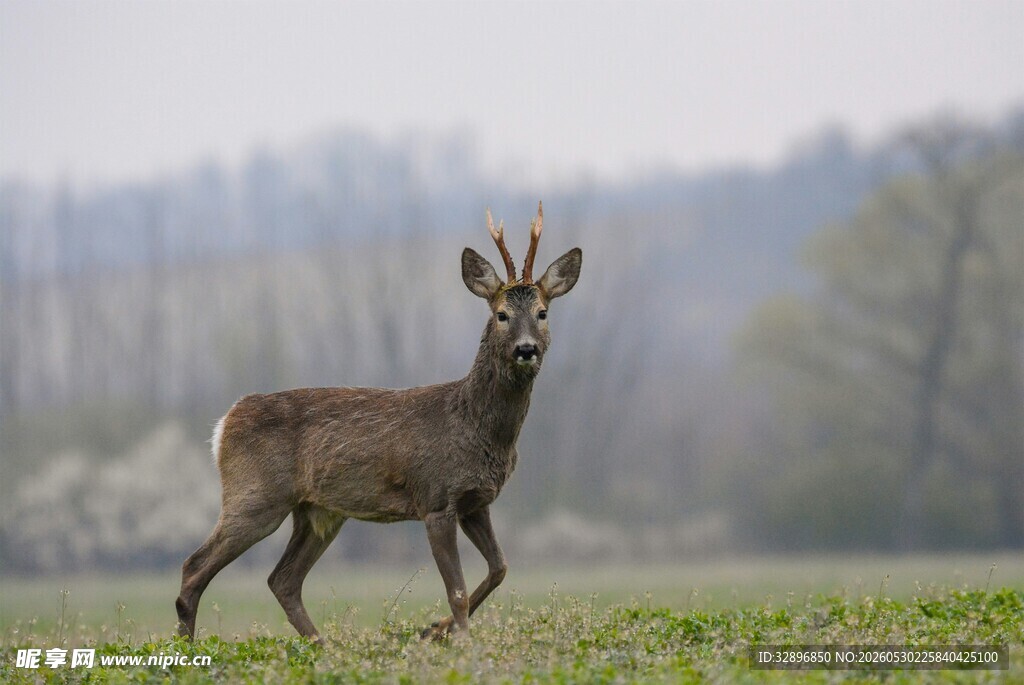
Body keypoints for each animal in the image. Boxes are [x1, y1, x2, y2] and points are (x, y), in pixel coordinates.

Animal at [176, 202, 582, 642]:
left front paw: (433, 631)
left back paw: (322, 645)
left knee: (282, 580)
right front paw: (459, 640)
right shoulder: (435, 498)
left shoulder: (476, 500)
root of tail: (224, 425)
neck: (479, 430)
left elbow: (500, 568)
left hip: (318, 511)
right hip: (255, 495)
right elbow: (456, 591)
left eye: (542, 313)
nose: (526, 349)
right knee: (195, 566)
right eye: (502, 314)